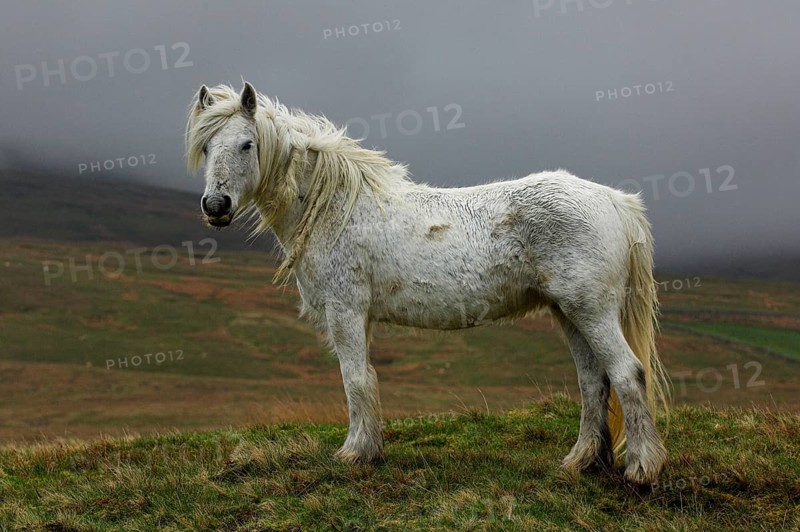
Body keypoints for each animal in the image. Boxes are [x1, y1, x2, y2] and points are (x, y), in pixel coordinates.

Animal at [185, 82, 669, 485]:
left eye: (247, 144)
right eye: (206, 147)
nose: (216, 206)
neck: (336, 206)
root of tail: (615, 200)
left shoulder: (345, 311)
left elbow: (354, 379)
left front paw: (354, 454)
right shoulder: (359, 317)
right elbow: (366, 377)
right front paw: (370, 449)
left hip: (592, 311)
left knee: (627, 374)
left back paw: (642, 468)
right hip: (569, 313)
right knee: (593, 382)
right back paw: (581, 461)